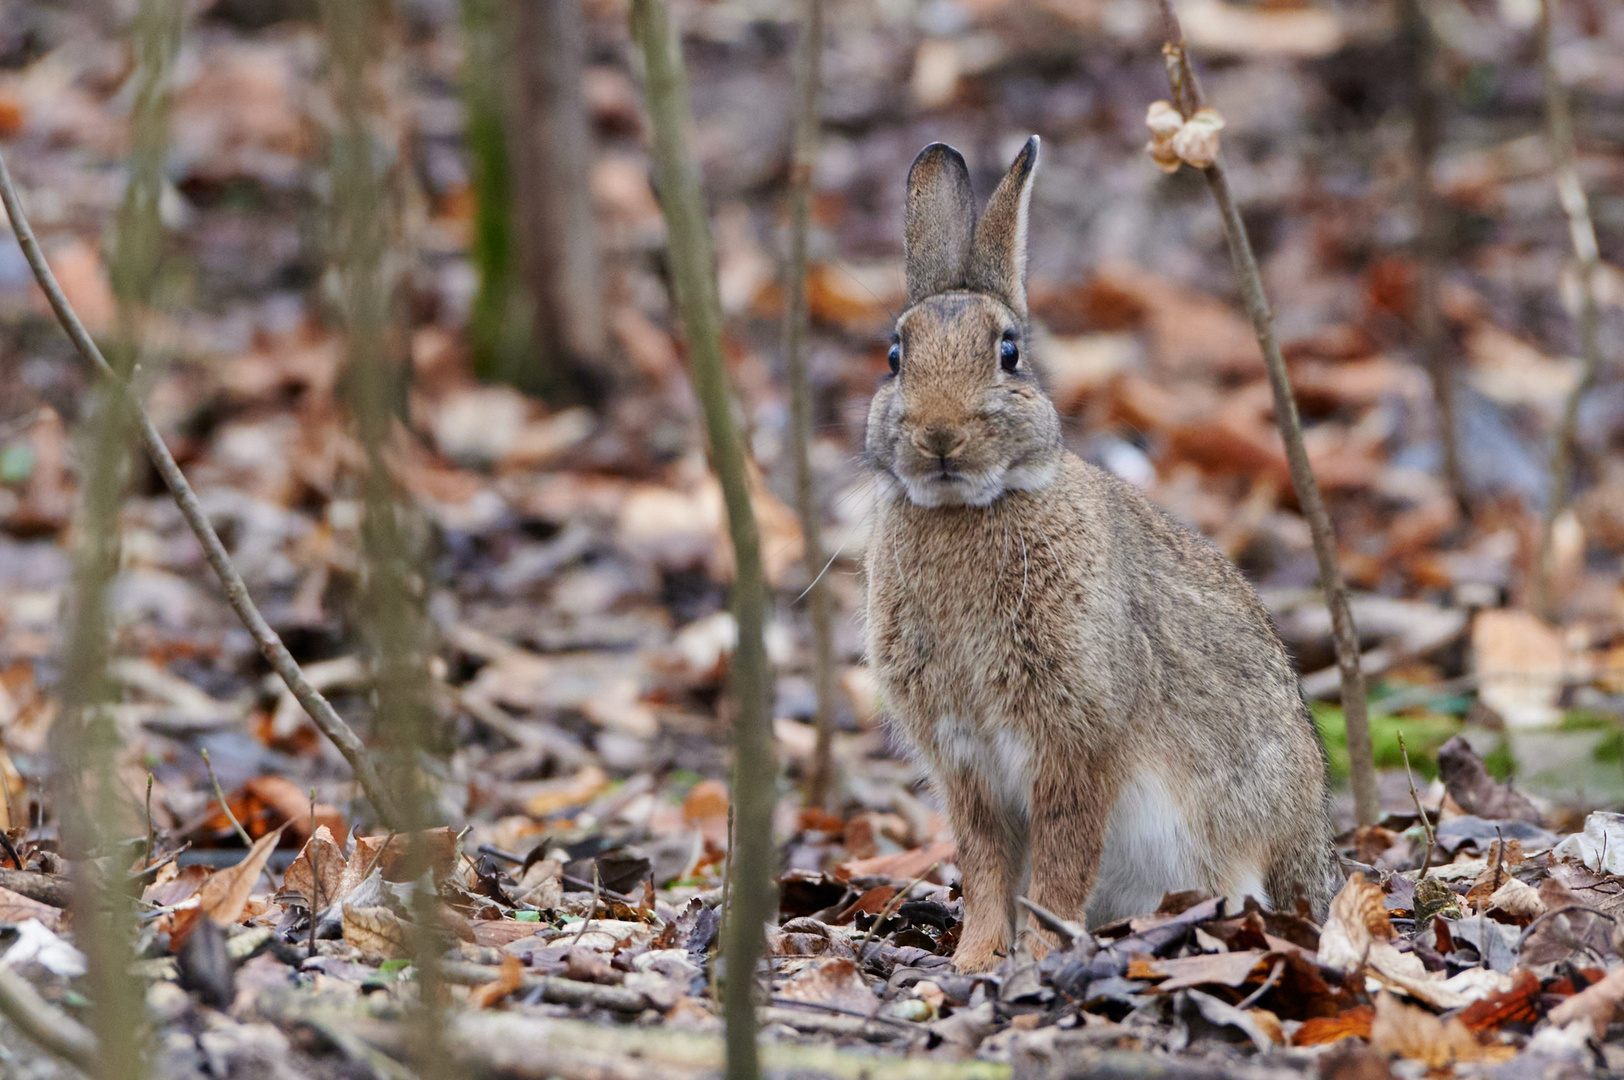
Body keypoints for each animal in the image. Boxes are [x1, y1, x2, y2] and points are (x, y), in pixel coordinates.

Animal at [863, 138, 1331, 974]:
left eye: (1009, 353)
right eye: (893, 357)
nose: (939, 435)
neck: (965, 509)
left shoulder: (1076, 745)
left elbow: (1060, 860)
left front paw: (1036, 957)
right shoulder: (968, 765)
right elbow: (987, 868)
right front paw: (974, 961)